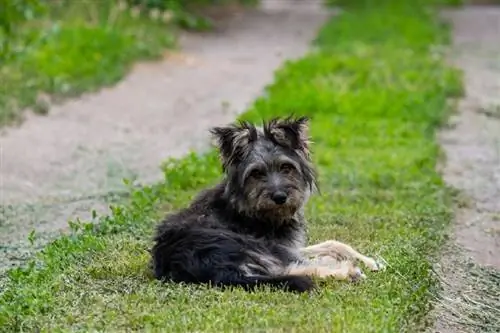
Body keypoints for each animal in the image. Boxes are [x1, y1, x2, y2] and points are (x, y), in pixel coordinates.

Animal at [150, 115, 384, 292]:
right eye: (256, 173)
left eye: (286, 167)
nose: (280, 197)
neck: (247, 209)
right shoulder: (279, 248)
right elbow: (325, 248)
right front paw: (359, 263)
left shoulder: (289, 247)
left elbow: (333, 243)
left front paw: (369, 261)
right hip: (251, 246)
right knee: (295, 270)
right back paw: (347, 271)